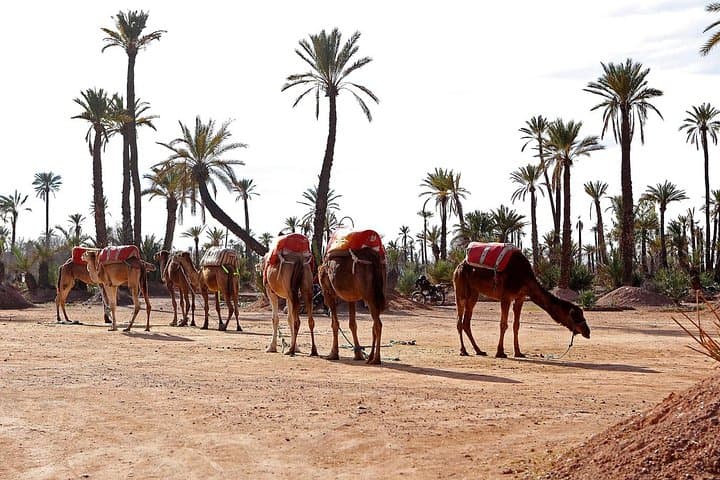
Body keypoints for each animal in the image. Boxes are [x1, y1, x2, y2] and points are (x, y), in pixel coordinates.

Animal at [453, 245, 591, 358]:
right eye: (575, 317)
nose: (587, 332)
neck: (524, 278)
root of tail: (458, 266)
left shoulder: (520, 298)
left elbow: (516, 325)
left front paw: (518, 352)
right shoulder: (506, 296)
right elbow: (503, 324)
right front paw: (500, 352)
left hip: (474, 292)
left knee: (466, 322)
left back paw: (479, 350)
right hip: (460, 287)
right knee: (460, 320)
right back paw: (463, 351)